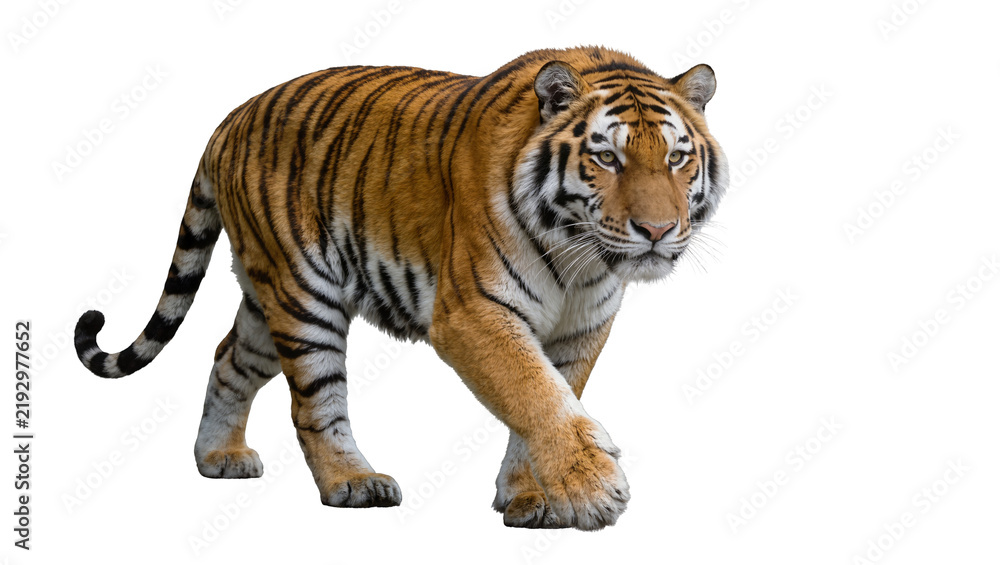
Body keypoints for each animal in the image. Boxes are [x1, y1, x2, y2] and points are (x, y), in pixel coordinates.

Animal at [74, 46, 728, 530]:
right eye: (607, 159)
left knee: (227, 357)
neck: (582, 261)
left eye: (676, 158)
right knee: (313, 403)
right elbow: (536, 395)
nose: (657, 231)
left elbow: (551, 398)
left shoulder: (583, 326)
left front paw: (531, 497)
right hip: (303, 296)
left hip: (267, 300)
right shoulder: (472, 312)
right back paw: (353, 482)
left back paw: (217, 457)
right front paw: (593, 490)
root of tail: (229, 120)